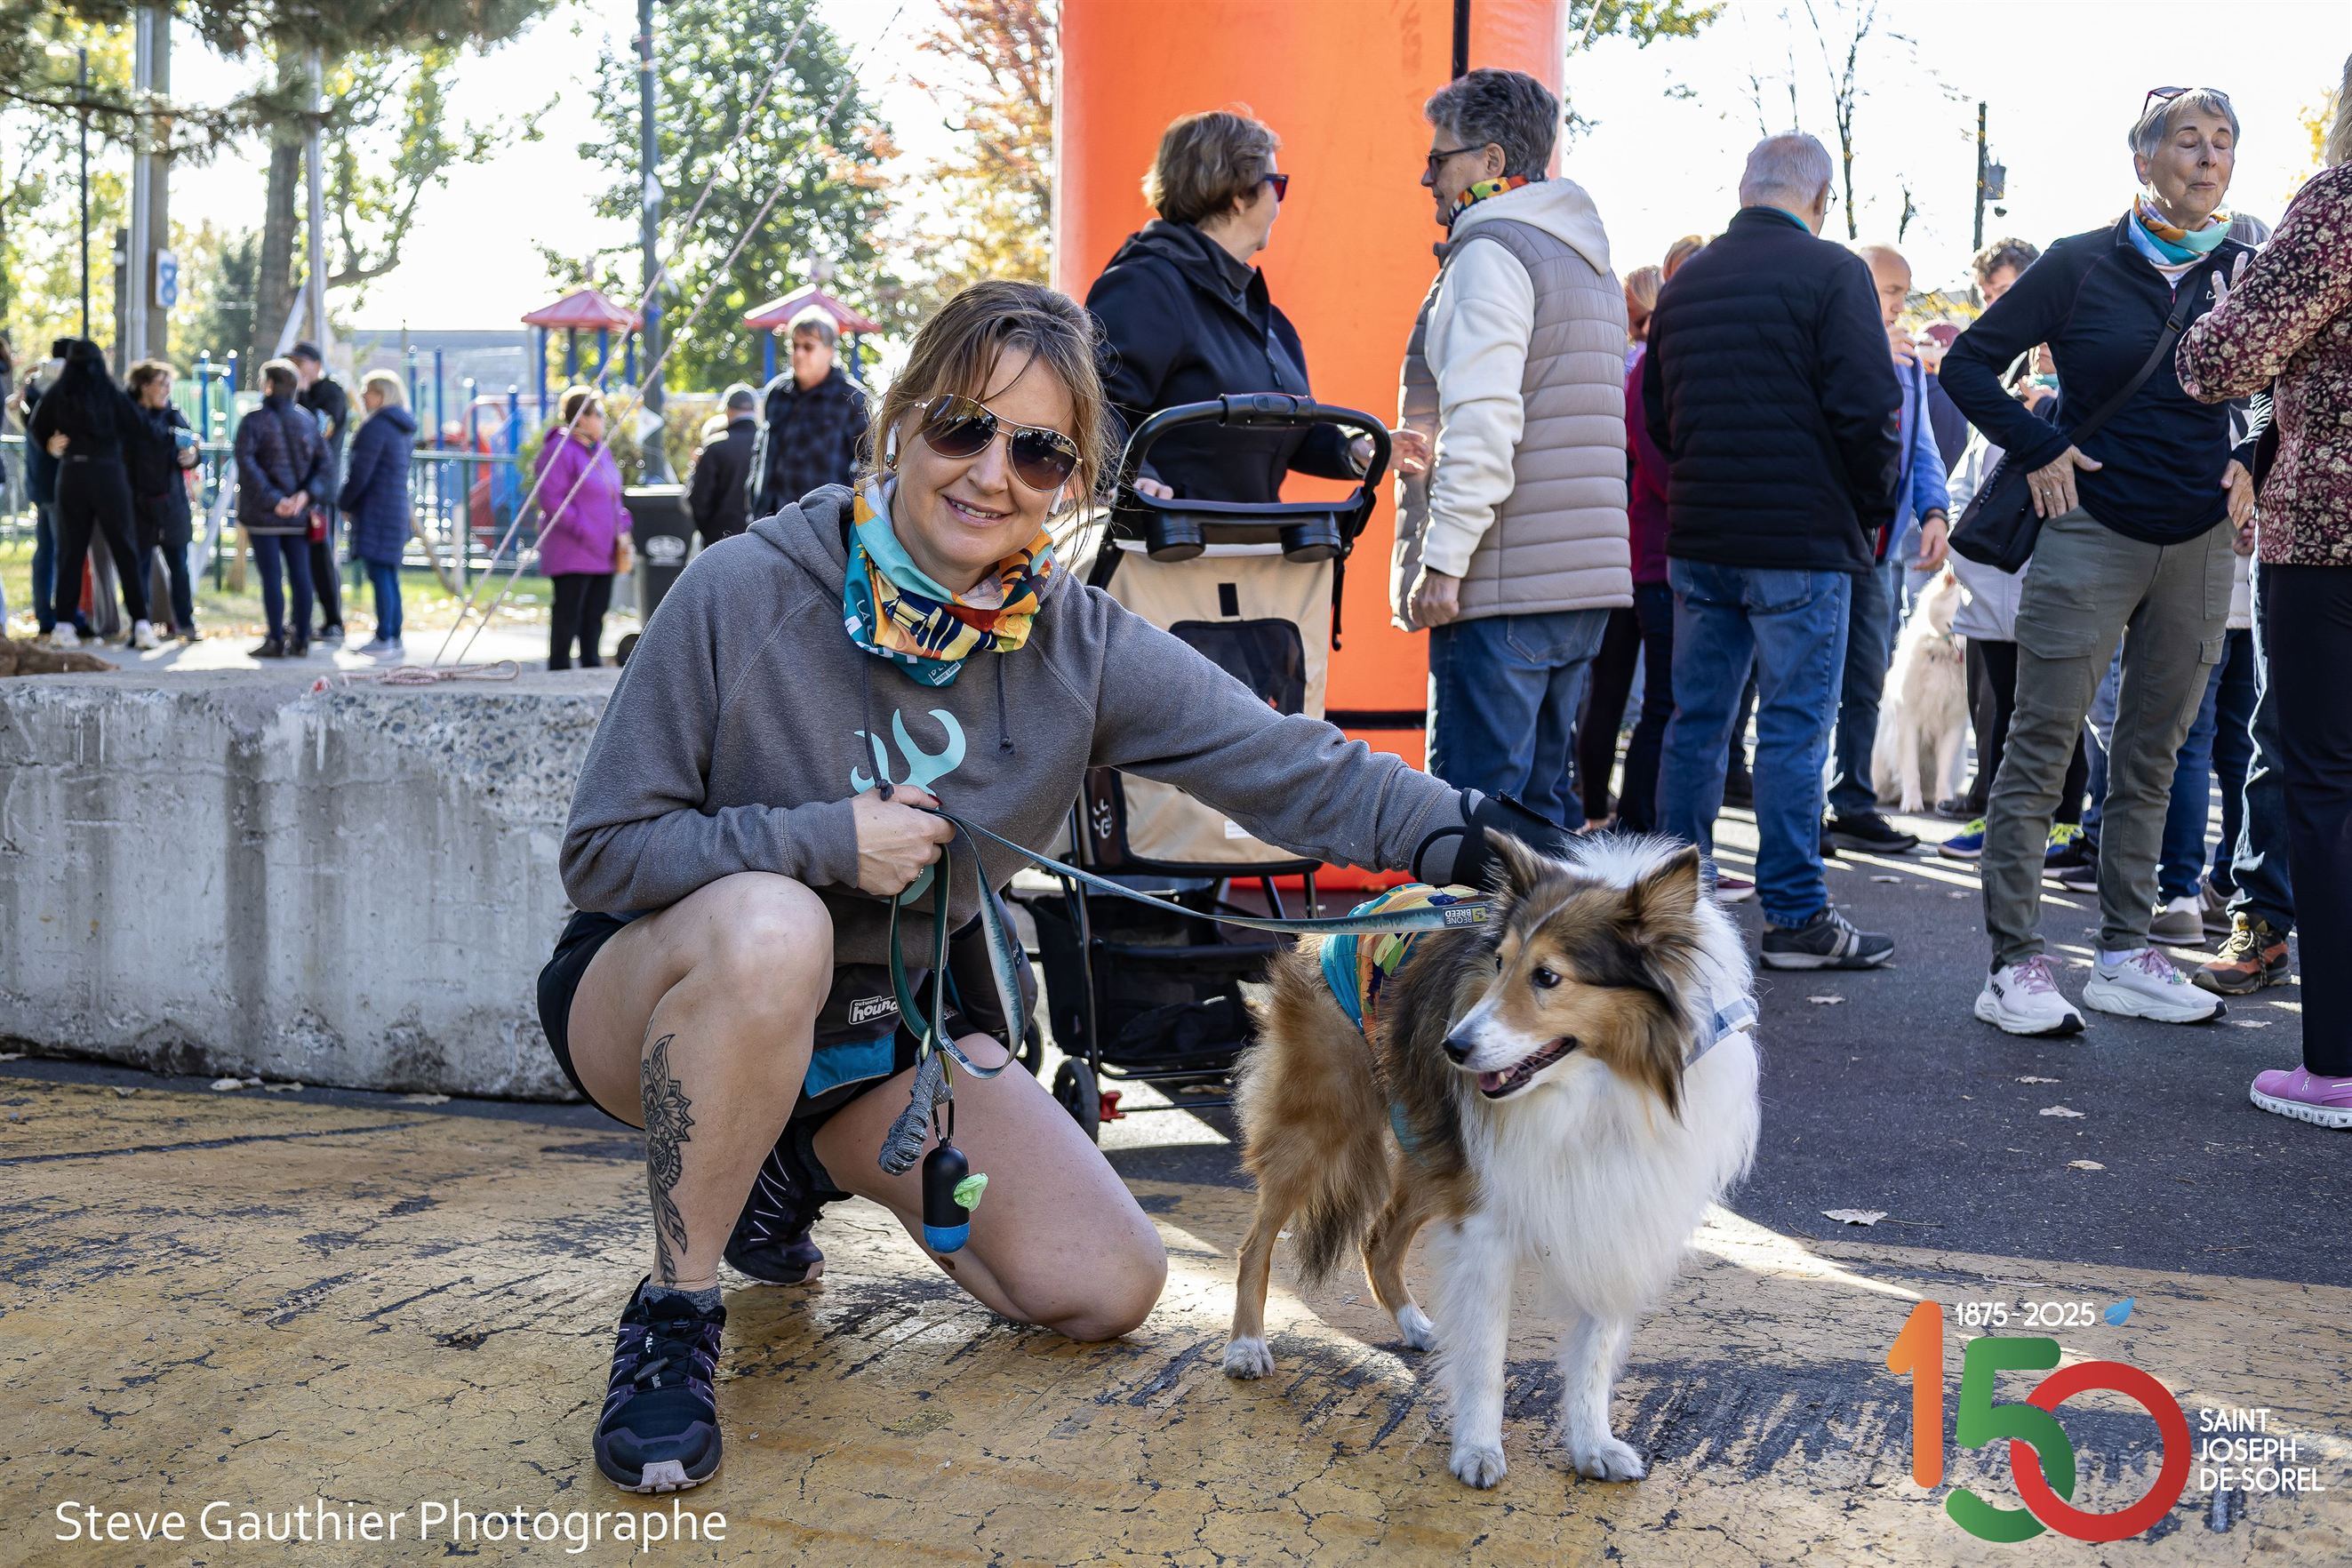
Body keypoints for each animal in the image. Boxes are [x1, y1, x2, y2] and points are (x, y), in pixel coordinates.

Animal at [1222, 832, 1761, 1489]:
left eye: (1548, 976)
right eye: (1499, 963)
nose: (1451, 1047)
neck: (1600, 1089)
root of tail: (1347, 918)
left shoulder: (1614, 1210)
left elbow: (1594, 1351)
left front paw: (1593, 1444)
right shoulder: (1487, 1224)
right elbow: (1485, 1356)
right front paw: (1477, 1449)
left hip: (1435, 1151)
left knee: (1379, 1238)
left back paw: (1415, 1325)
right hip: (1325, 1123)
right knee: (1256, 1243)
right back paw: (1247, 1346)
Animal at [1870, 569, 1969, 814]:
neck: (1942, 655)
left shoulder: (1954, 724)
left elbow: (1945, 769)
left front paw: (1945, 801)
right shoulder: (1908, 719)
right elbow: (1910, 766)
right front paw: (1912, 802)